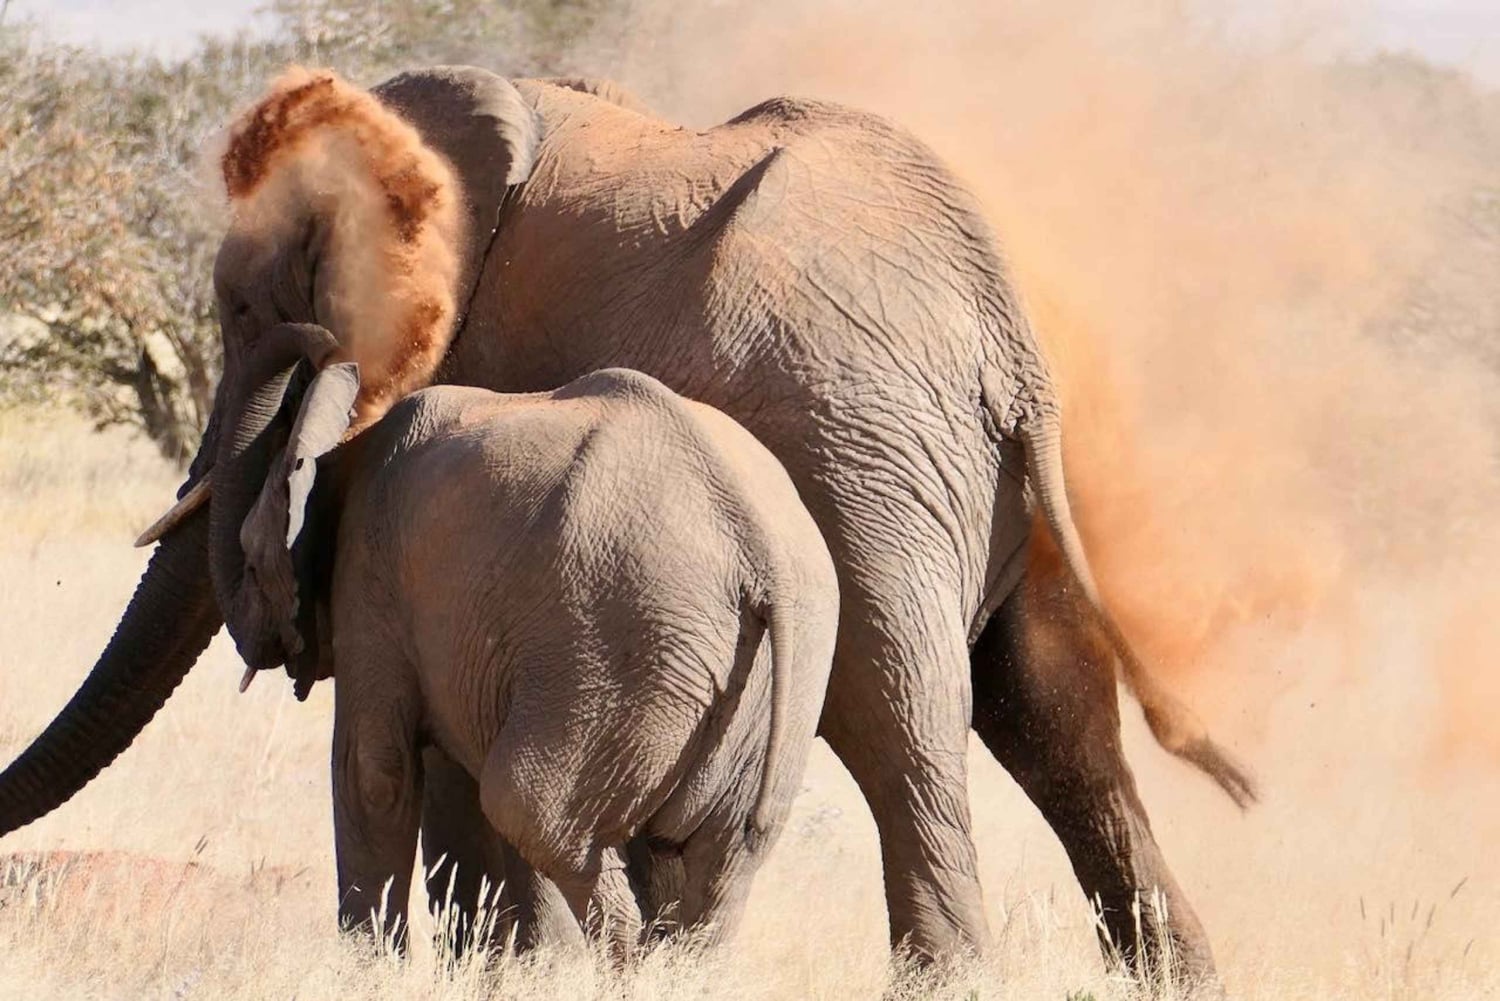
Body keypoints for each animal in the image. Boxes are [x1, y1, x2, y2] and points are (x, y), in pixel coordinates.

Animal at [213, 321, 839, 951]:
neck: (349, 435)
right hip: (765, 671)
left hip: (614, 646)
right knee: (722, 863)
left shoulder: (371, 578)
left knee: (528, 807)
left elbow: (373, 774)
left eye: (247, 556)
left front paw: (368, 965)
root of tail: (753, 542)